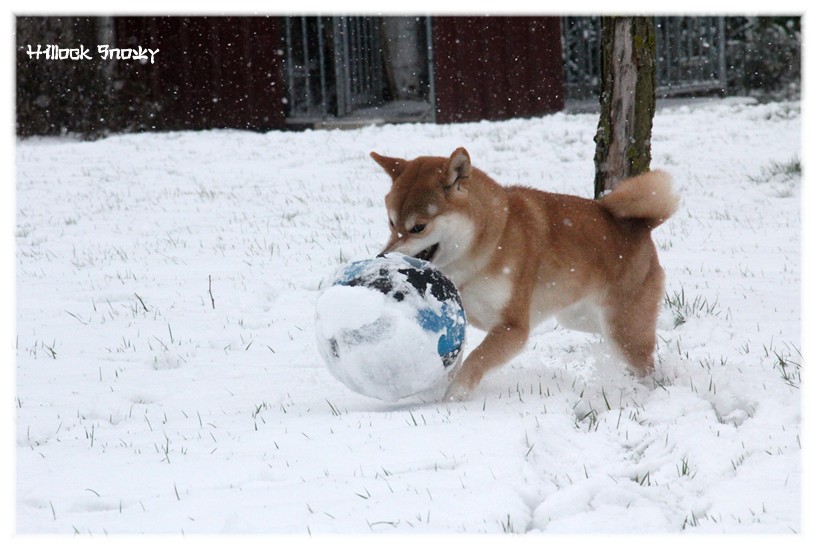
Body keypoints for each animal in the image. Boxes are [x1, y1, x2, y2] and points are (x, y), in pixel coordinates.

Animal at [372, 148, 680, 400]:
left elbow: (477, 358)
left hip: (622, 329)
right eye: (391, 222)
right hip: (580, 318)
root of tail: (642, 227)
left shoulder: (513, 327)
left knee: (645, 362)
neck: (484, 247)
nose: (381, 257)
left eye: (418, 227)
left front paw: (454, 394)